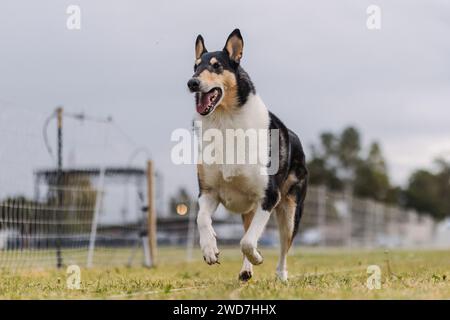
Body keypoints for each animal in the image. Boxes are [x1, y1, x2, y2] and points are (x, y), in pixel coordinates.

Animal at [187, 28, 310, 282]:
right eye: (195, 66)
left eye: (216, 66)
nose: (192, 82)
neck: (225, 121)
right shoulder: (208, 192)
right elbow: (201, 218)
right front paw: (210, 249)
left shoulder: (269, 196)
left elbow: (246, 243)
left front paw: (257, 257)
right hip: (249, 209)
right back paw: (245, 270)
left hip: (290, 211)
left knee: (284, 247)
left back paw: (281, 276)